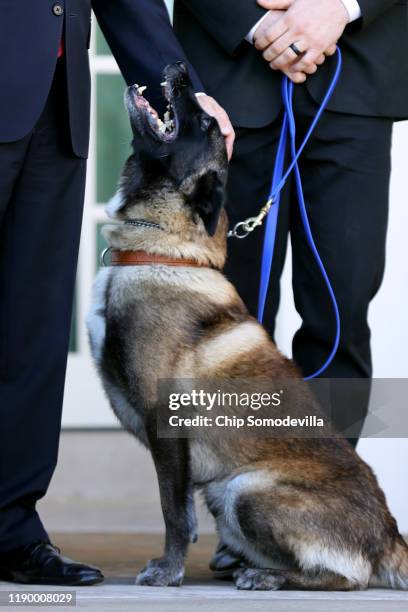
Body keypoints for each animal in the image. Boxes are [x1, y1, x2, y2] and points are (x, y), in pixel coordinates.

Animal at [87, 63, 408, 592]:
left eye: (205, 125)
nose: (181, 69)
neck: (163, 253)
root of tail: (390, 536)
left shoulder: (165, 425)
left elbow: (173, 512)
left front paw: (168, 571)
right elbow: (181, 511)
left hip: (245, 489)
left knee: (348, 577)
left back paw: (267, 576)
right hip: (226, 492)